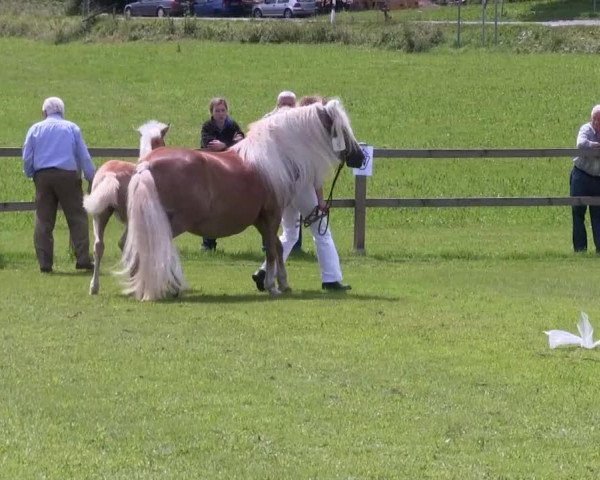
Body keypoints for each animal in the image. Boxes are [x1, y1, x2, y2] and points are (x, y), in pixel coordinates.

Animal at [120, 99, 364, 298]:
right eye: (341, 129)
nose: (360, 157)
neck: (275, 156)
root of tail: (146, 165)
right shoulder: (272, 215)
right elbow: (272, 249)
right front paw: (272, 286)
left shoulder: (261, 220)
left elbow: (277, 246)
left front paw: (281, 283)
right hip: (170, 222)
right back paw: (167, 286)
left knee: (129, 243)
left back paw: (136, 286)